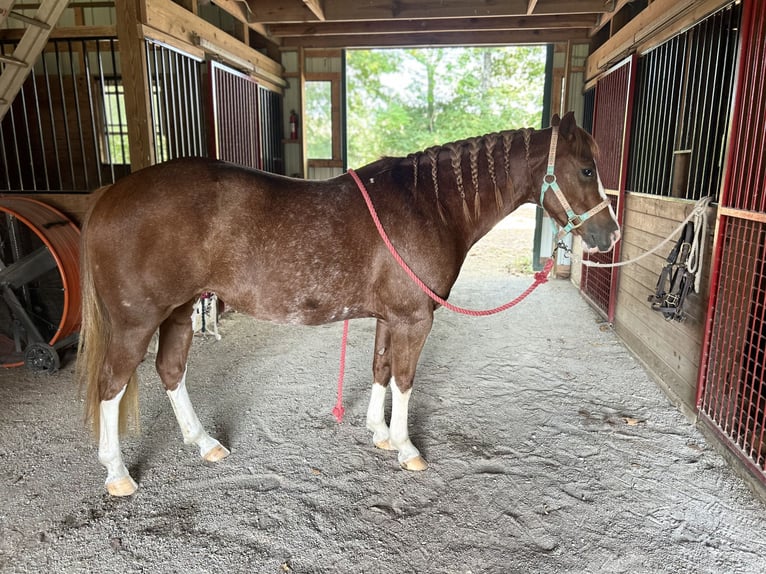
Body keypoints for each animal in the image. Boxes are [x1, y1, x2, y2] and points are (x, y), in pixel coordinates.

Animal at [78, 112, 620, 496]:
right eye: (586, 168)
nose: (610, 235)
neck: (429, 205)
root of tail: (108, 194)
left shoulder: (390, 317)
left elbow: (380, 369)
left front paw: (378, 432)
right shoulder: (414, 320)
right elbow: (404, 379)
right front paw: (405, 447)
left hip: (178, 313)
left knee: (171, 371)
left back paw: (205, 443)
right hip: (135, 323)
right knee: (111, 386)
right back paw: (117, 474)